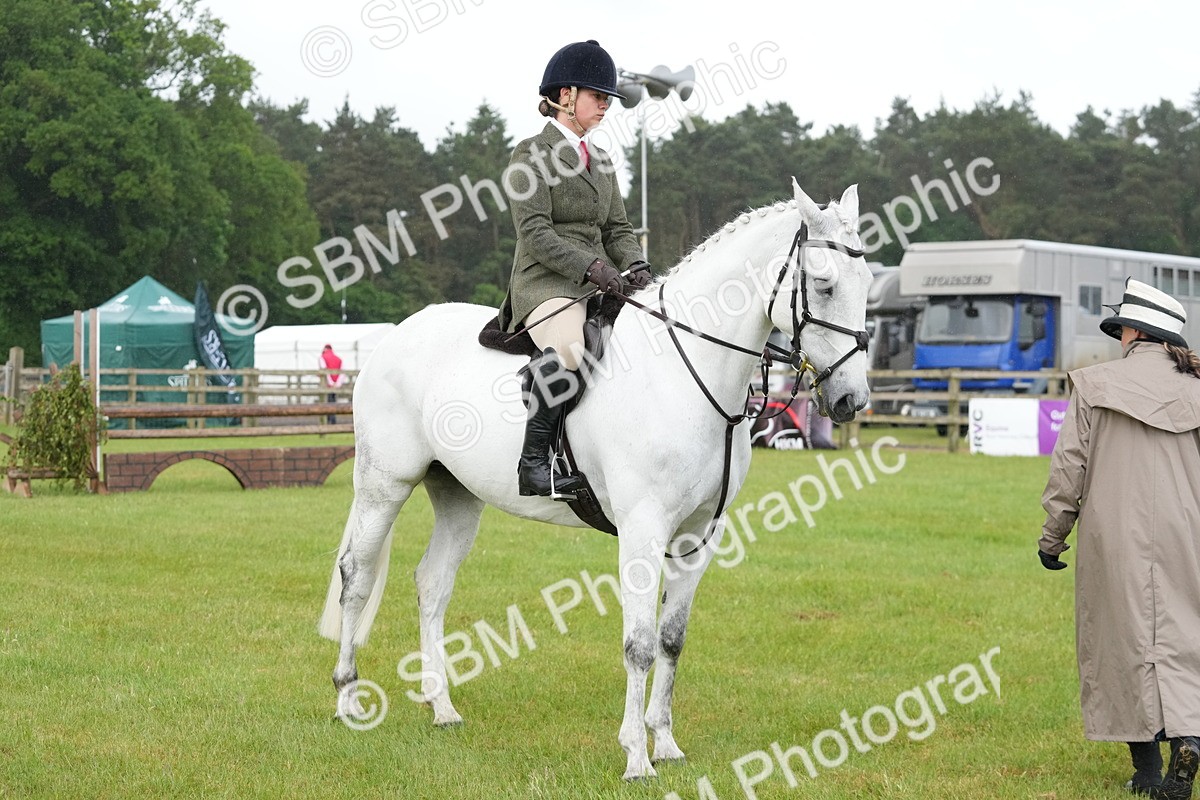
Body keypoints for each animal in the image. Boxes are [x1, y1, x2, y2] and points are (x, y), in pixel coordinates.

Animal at [318, 179, 873, 780]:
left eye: (868, 283)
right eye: (824, 285)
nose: (851, 400)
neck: (686, 371)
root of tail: (396, 336)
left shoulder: (700, 534)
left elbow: (671, 640)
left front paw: (666, 743)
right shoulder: (643, 529)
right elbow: (639, 643)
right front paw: (637, 758)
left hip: (459, 496)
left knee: (432, 583)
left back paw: (442, 707)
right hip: (384, 484)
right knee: (356, 576)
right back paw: (347, 699)